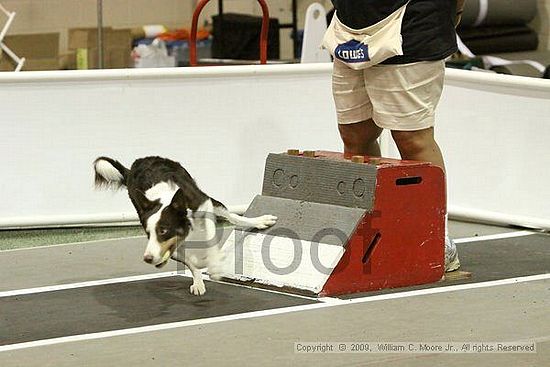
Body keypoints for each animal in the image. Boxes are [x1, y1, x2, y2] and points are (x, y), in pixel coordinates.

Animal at [94, 155, 280, 296]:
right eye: (148, 233)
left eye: (163, 230)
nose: (147, 258)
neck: (166, 199)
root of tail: (137, 163)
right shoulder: (171, 246)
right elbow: (190, 261)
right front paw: (198, 279)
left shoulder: (204, 205)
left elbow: (211, 239)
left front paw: (214, 265)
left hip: (207, 197)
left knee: (231, 216)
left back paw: (259, 221)